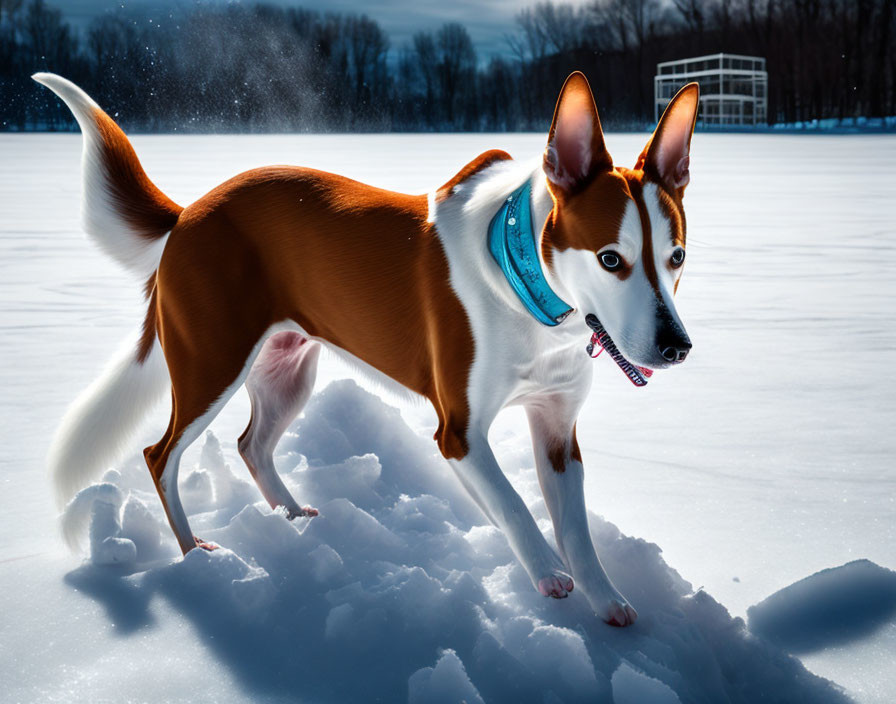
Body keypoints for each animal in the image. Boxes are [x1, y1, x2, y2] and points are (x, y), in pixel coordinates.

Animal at [38, 71, 700, 628]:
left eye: (676, 257)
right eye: (610, 259)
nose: (677, 347)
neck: (529, 291)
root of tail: (189, 212)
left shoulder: (559, 429)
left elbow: (578, 529)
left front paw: (606, 599)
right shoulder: (460, 433)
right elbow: (513, 505)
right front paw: (548, 575)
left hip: (287, 365)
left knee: (252, 443)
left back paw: (291, 518)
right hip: (211, 364)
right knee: (160, 455)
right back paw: (195, 554)